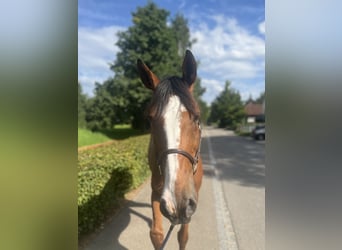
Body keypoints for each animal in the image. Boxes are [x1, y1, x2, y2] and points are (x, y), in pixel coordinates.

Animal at [137, 49, 203, 249]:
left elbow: (183, 235)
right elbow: (156, 234)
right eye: (150, 120)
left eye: (197, 117)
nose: (177, 203)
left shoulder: (191, 200)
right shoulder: (157, 192)